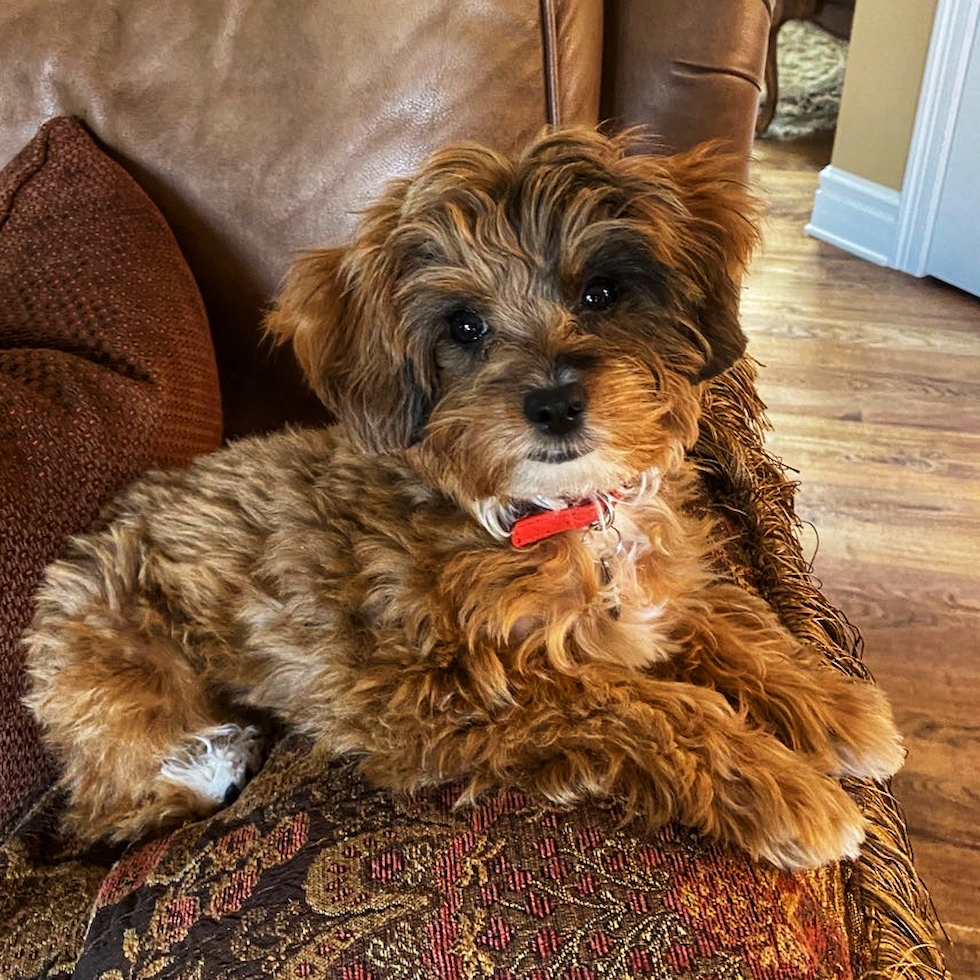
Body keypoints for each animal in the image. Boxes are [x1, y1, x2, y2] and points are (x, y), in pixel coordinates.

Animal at [21, 128, 904, 864]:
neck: (556, 514)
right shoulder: (439, 696)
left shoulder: (661, 592)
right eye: (465, 327)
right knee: (115, 801)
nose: (554, 404)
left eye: (601, 292)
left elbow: (734, 627)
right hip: (128, 690)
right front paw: (789, 792)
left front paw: (837, 709)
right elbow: (654, 707)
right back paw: (212, 759)